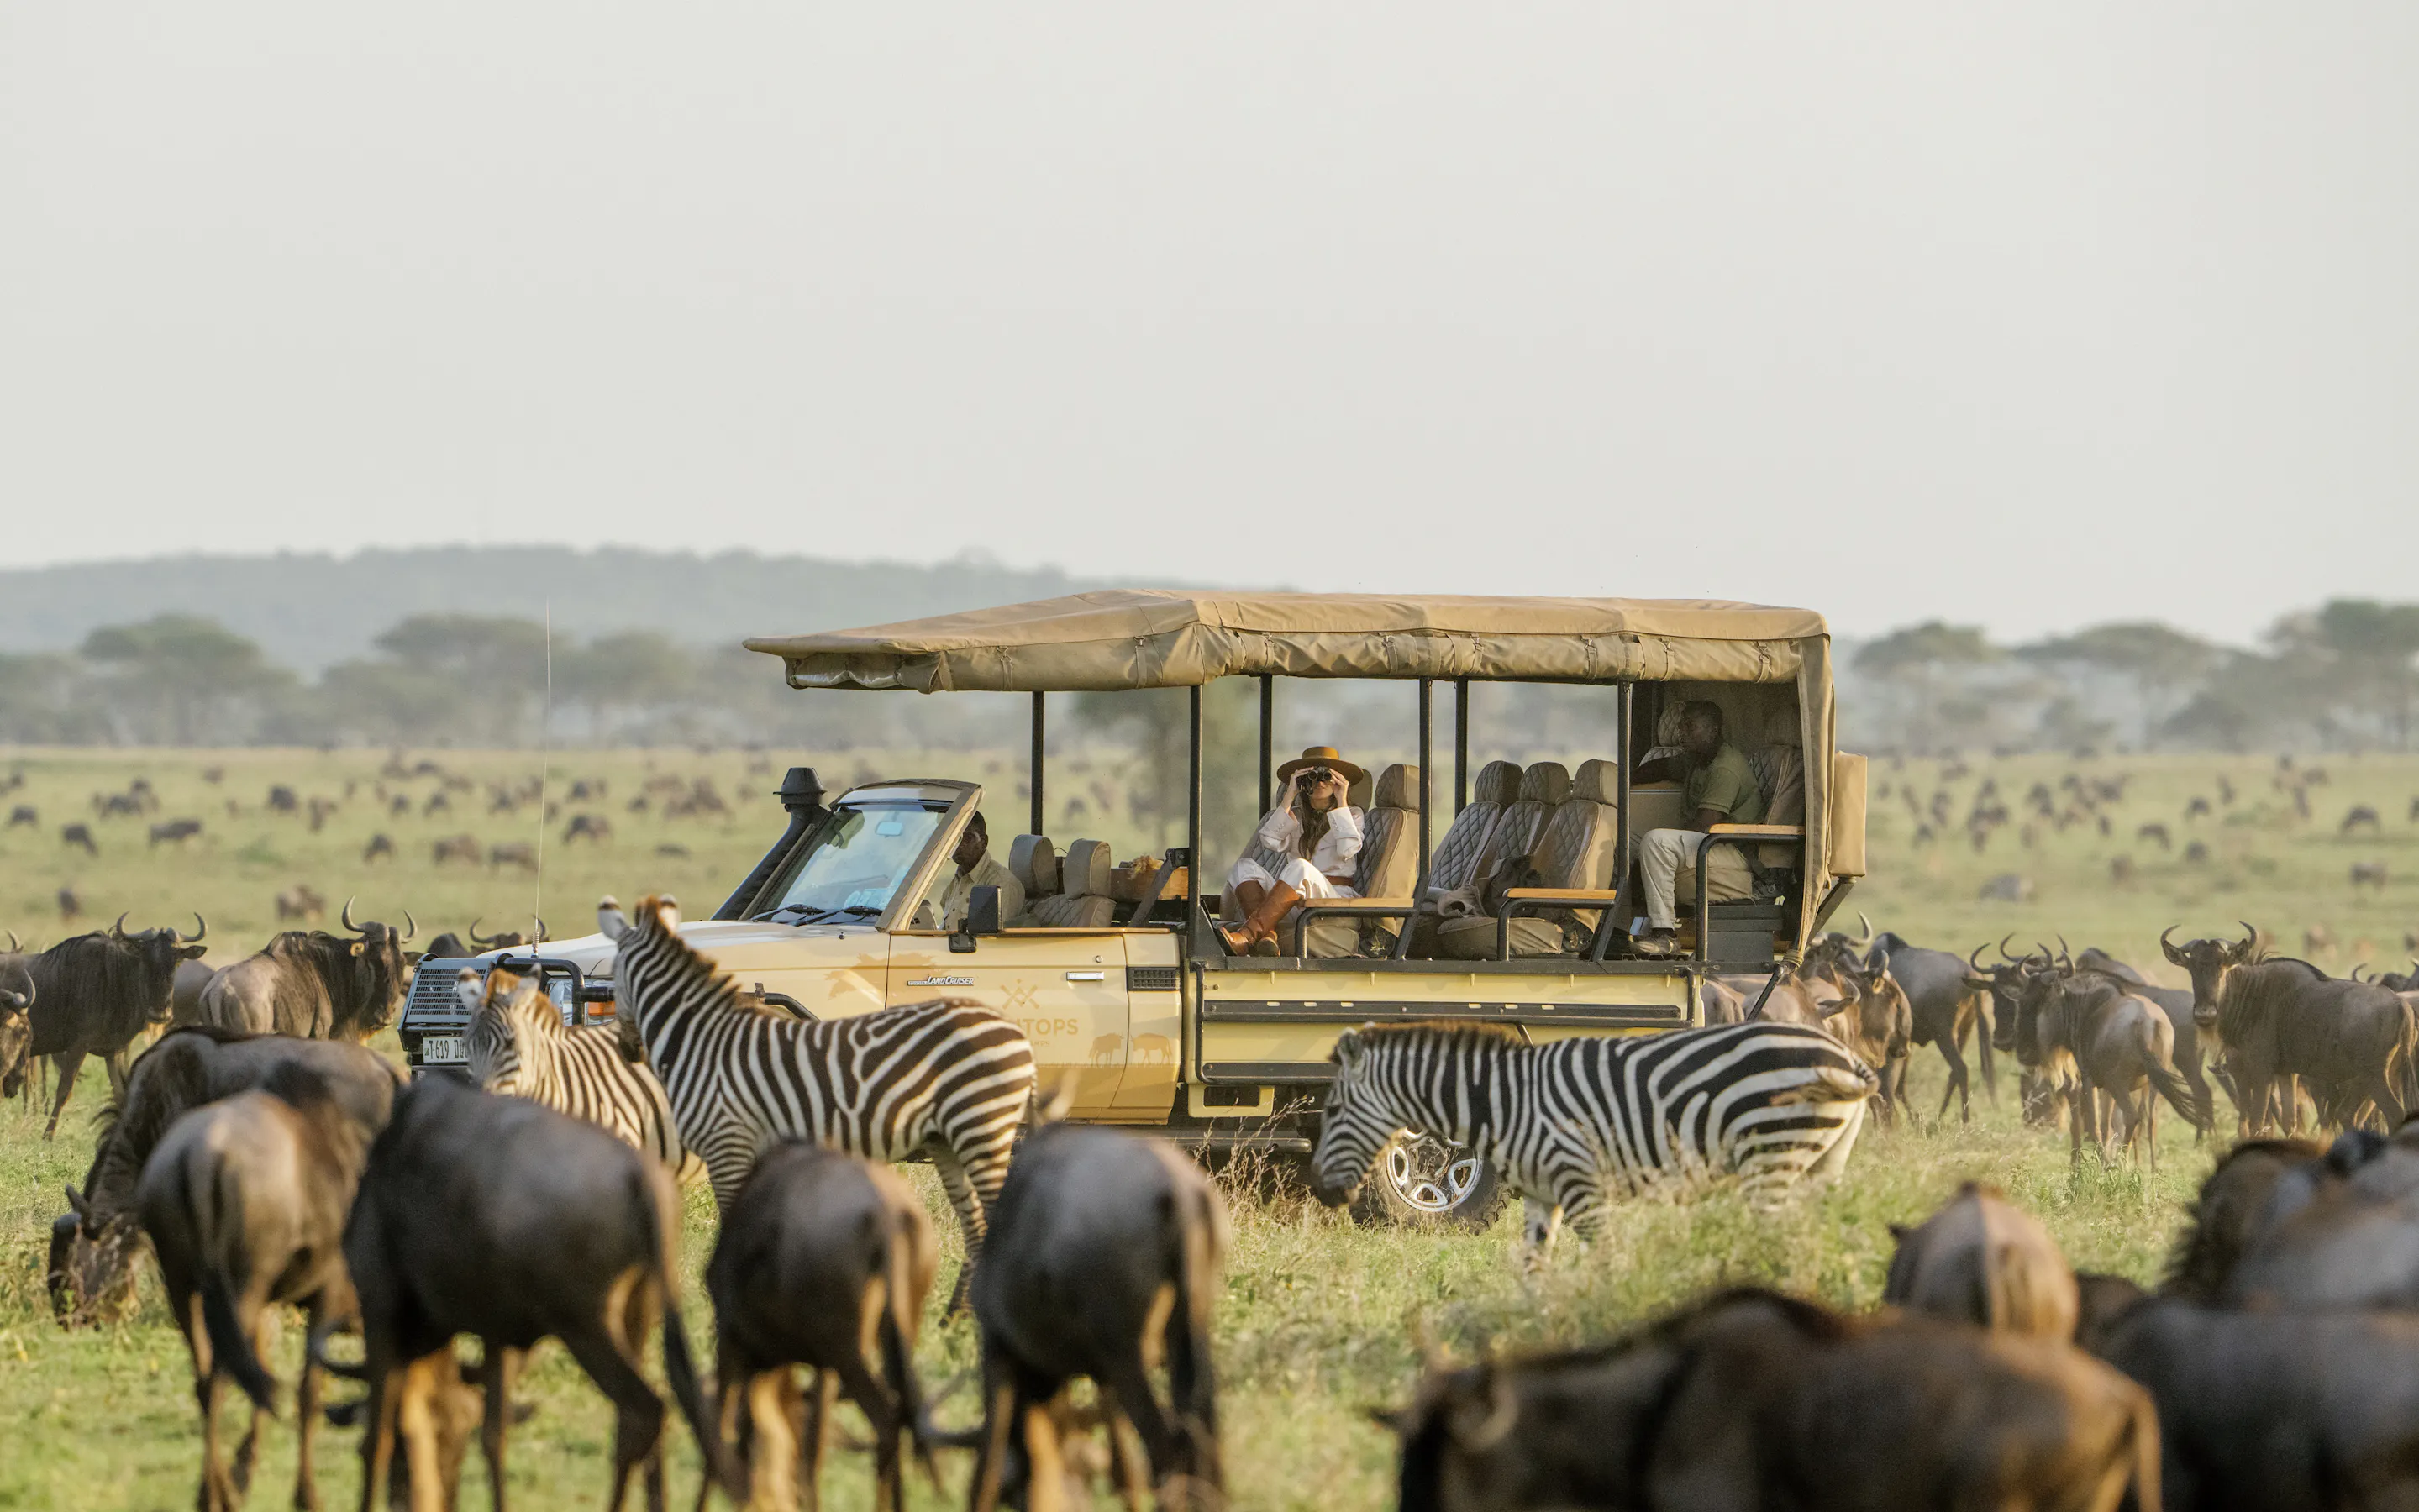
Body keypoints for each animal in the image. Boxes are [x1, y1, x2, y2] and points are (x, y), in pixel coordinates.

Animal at [1309, 1020, 1875, 1276]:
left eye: (1332, 1110)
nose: (1320, 1192)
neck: (1505, 1100)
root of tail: (1848, 1057)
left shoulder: (1581, 1183)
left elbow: (1603, 1261)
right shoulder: (1542, 1196)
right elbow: (1533, 1269)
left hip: (1772, 1155)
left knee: (1783, 1239)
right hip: (1822, 1162)